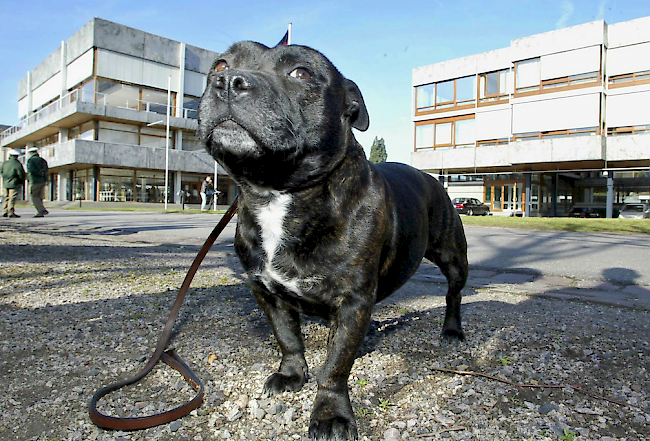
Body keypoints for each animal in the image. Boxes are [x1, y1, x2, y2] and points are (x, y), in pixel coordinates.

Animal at [197, 41, 466, 440]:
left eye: (301, 72)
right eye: (220, 63)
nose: (228, 80)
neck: (278, 191)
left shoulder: (352, 300)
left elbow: (336, 364)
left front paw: (330, 413)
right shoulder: (265, 291)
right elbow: (287, 337)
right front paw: (293, 374)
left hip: (453, 258)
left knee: (453, 294)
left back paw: (452, 329)